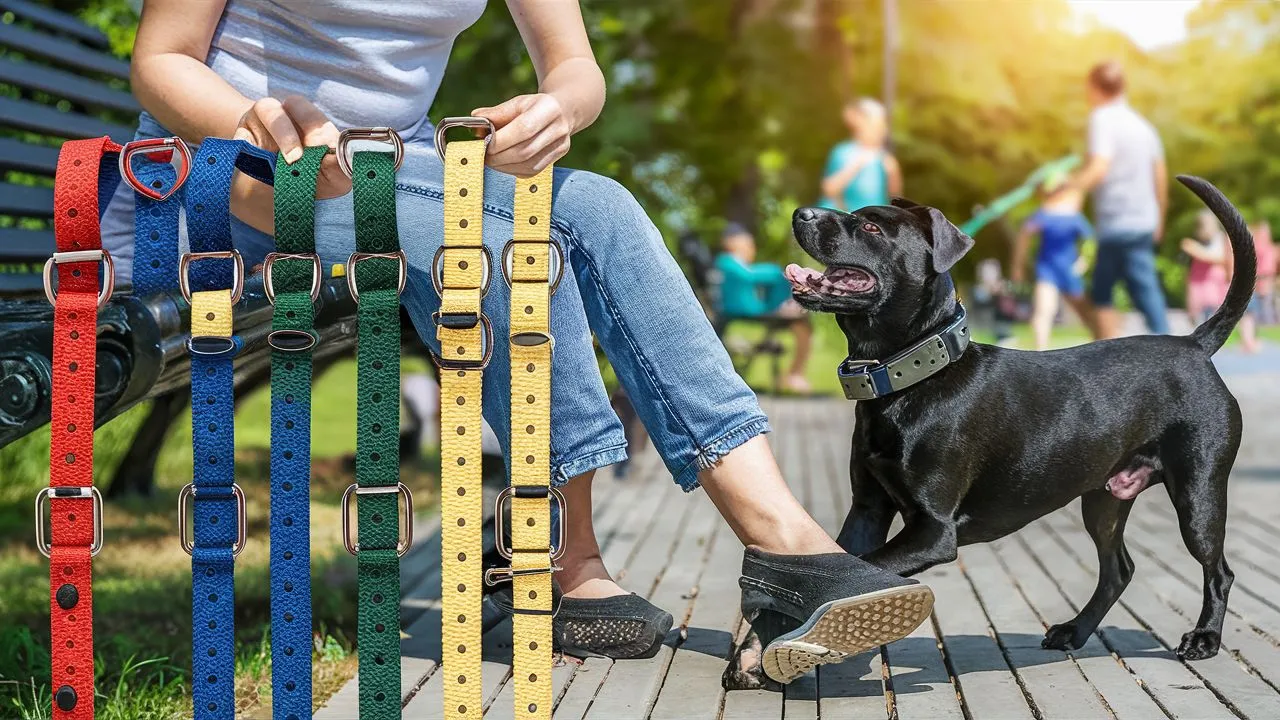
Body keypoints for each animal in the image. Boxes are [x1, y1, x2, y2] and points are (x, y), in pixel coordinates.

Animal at [727, 175, 1254, 691]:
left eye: (873, 227)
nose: (801, 214)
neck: (910, 379)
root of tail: (1192, 343)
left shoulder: (934, 531)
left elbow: (871, 567)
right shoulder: (867, 510)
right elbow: (823, 572)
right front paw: (754, 653)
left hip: (1198, 493)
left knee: (1219, 571)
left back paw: (1204, 638)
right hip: (1103, 497)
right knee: (1117, 570)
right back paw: (1074, 630)